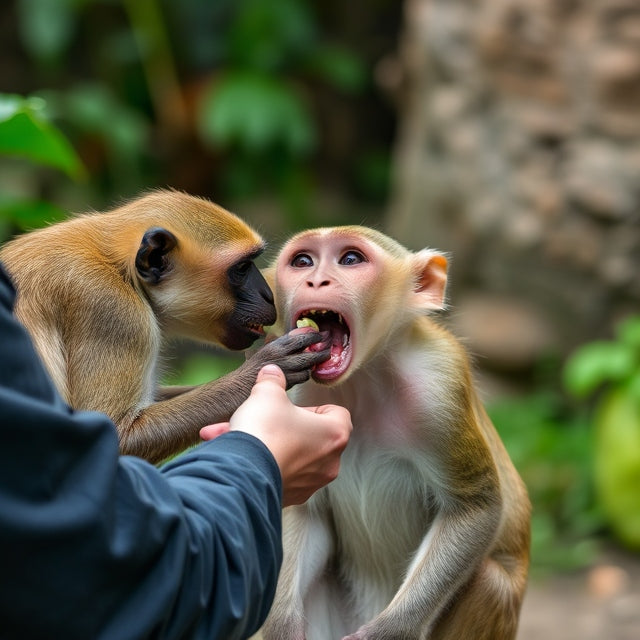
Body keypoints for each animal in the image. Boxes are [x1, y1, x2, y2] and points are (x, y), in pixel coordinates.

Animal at [0, 190, 328, 464]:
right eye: (242, 268)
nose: (269, 295)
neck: (119, 267)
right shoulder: (112, 308)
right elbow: (116, 435)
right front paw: (263, 369)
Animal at [258, 226, 532, 640]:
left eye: (350, 259)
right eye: (302, 261)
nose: (315, 279)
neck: (364, 380)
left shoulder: (440, 384)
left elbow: (476, 506)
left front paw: (388, 632)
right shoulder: (295, 391)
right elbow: (305, 510)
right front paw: (282, 627)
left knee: (487, 578)